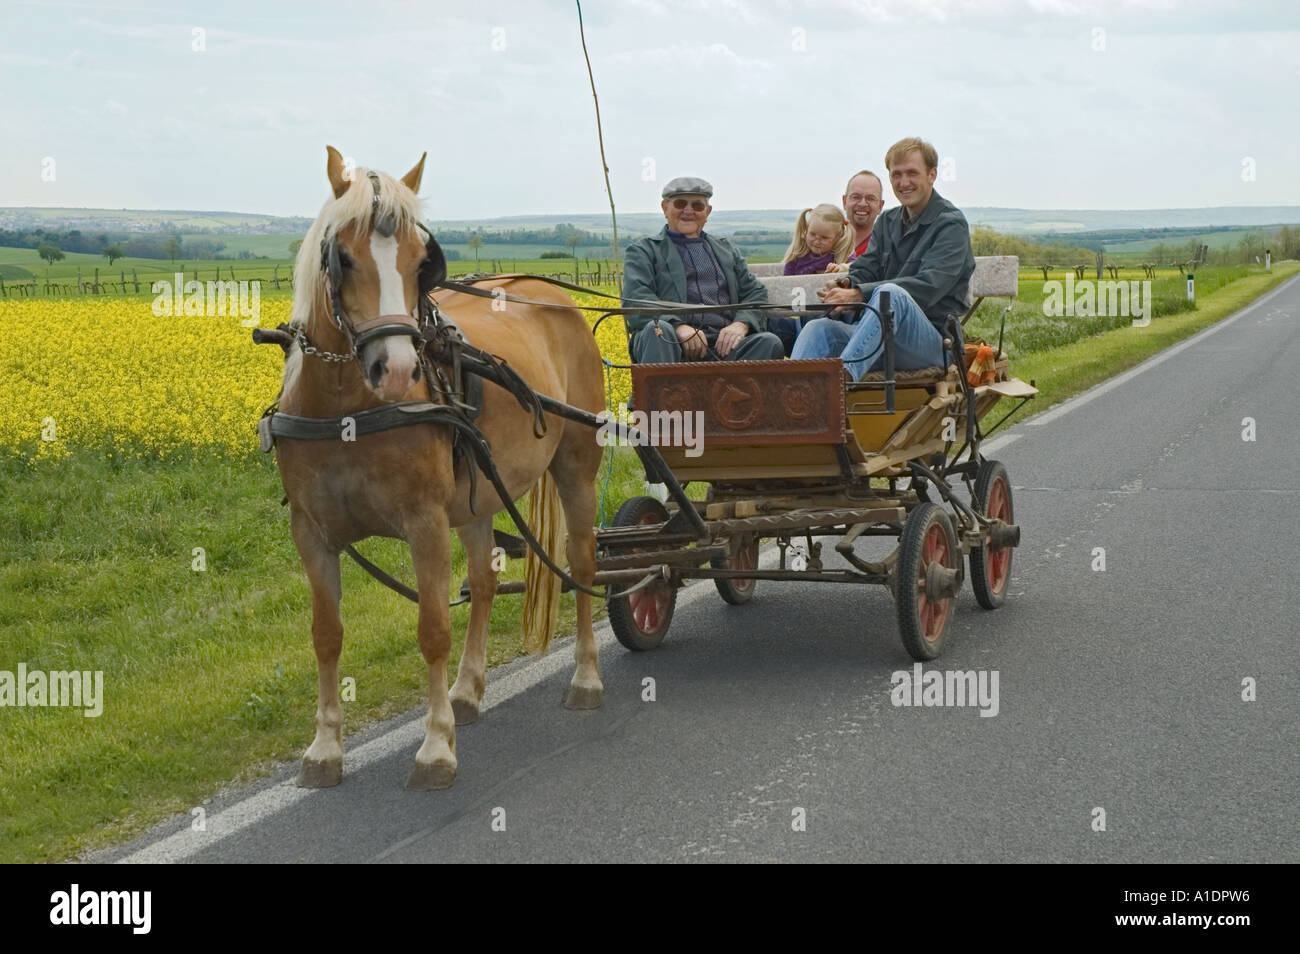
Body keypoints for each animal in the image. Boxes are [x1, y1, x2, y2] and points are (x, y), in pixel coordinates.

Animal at [279, 145, 603, 790]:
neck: (346, 408)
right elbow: (326, 636)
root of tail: (549, 296)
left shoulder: (424, 522)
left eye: (418, 263)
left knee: (580, 563)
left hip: (576, 465)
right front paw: (325, 747)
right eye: (343, 258)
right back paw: (468, 691)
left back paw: (585, 676)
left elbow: (432, 630)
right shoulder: (311, 531)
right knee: (482, 580)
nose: (400, 370)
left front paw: (434, 748)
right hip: (477, 493)